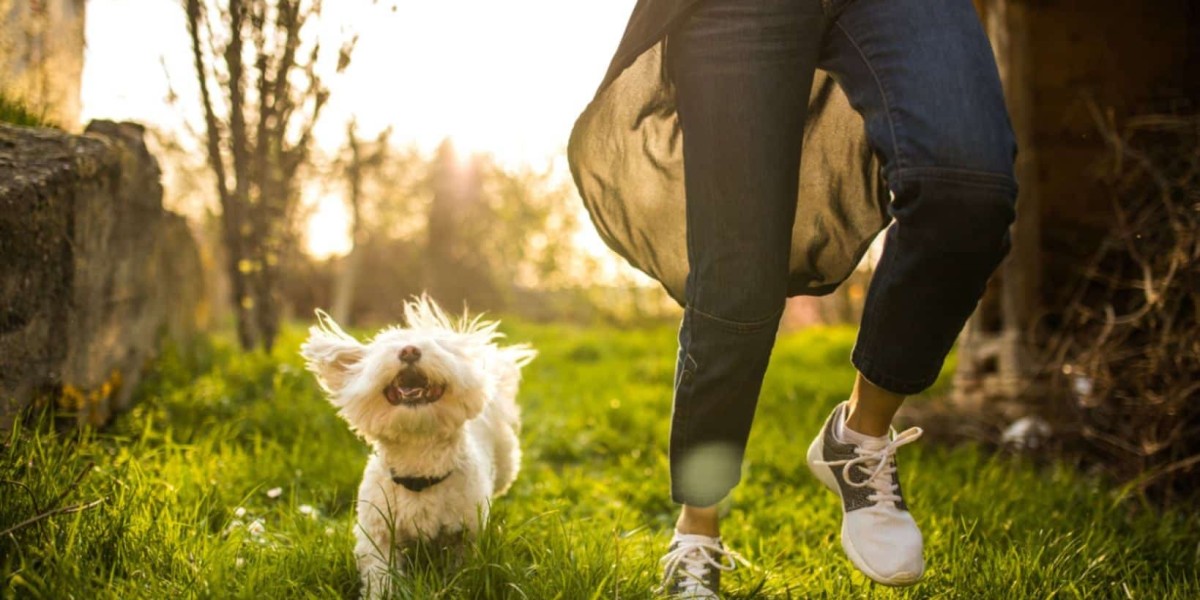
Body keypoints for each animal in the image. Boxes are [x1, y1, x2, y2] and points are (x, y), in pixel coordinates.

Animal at [302, 297, 537, 597]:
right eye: (388, 346)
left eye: (437, 345)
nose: (410, 350)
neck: (419, 466)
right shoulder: (378, 532)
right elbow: (380, 572)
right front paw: (382, 593)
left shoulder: (465, 532)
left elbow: (462, 568)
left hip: (505, 465)